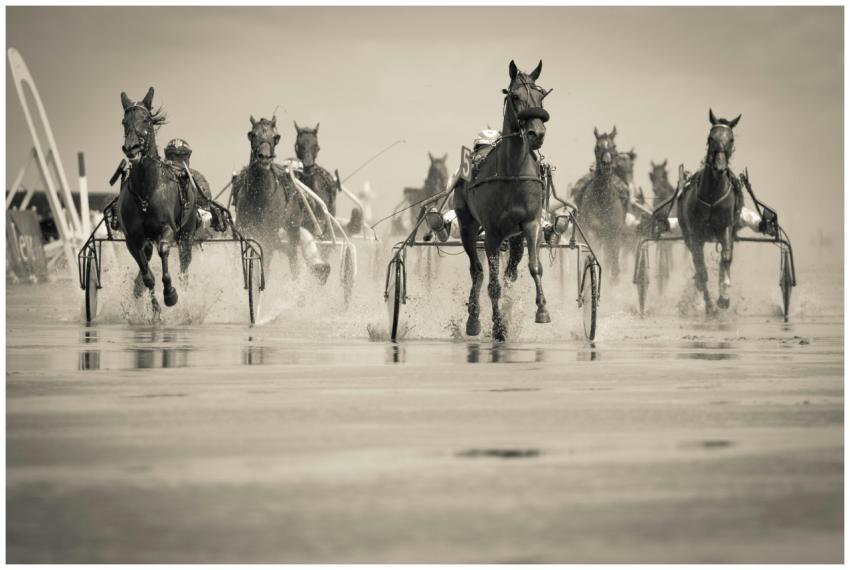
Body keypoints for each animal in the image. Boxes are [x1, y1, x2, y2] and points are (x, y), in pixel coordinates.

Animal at [117, 87, 199, 312]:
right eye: (124, 121)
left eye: (146, 119)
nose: (131, 148)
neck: (147, 190)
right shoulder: (133, 240)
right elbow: (147, 276)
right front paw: (155, 309)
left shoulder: (168, 229)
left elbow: (164, 250)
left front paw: (170, 294)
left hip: (187, 234)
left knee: (184, 267)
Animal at [454, 60, 551, 342]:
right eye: (515, 96)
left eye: (541, 95)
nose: (537, 133)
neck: (513, 172)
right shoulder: (493, 234)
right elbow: (493, 284)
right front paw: (498, 327)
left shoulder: (530, 224)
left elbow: (534, 267)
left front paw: (542, 310)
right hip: (467, 227)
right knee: (477, 271)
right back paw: (474, 320)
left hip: (515, 237)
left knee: (511, 271)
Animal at [574, 127, 631, 282]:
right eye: (597, 147)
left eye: (614, 146)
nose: (606, 164)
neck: (603, 201)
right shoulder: (592, 232)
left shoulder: (614, 233)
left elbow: (613, 260)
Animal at [678, 109, 743, 315]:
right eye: (710, 138)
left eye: (731, 139)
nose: (720, 166)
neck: (713, 196)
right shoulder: (695, 234)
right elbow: (702, 270)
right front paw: (709, 304)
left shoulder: (726, 227)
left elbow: (726, 258)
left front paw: (724, 297)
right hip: (688, 236)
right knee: (699, 266)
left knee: (725, 258)